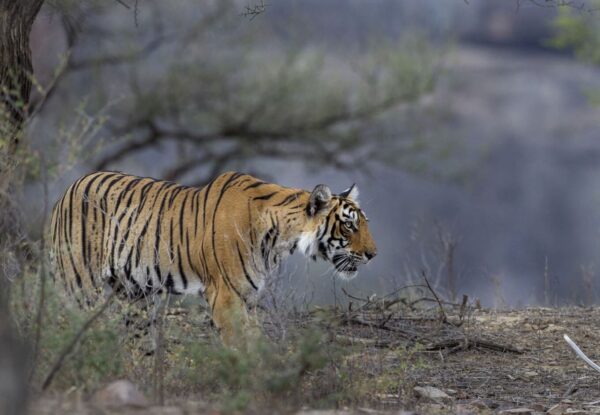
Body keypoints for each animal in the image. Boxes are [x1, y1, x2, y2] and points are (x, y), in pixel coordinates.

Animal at [50, 171, 376, 346]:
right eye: (349, 225)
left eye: (363, 222)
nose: (373, 254)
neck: (280, 238)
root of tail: (67, 190)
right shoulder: (225, 296)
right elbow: (241, 347)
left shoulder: (248, 298)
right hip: (79, 286)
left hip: (135, 294)